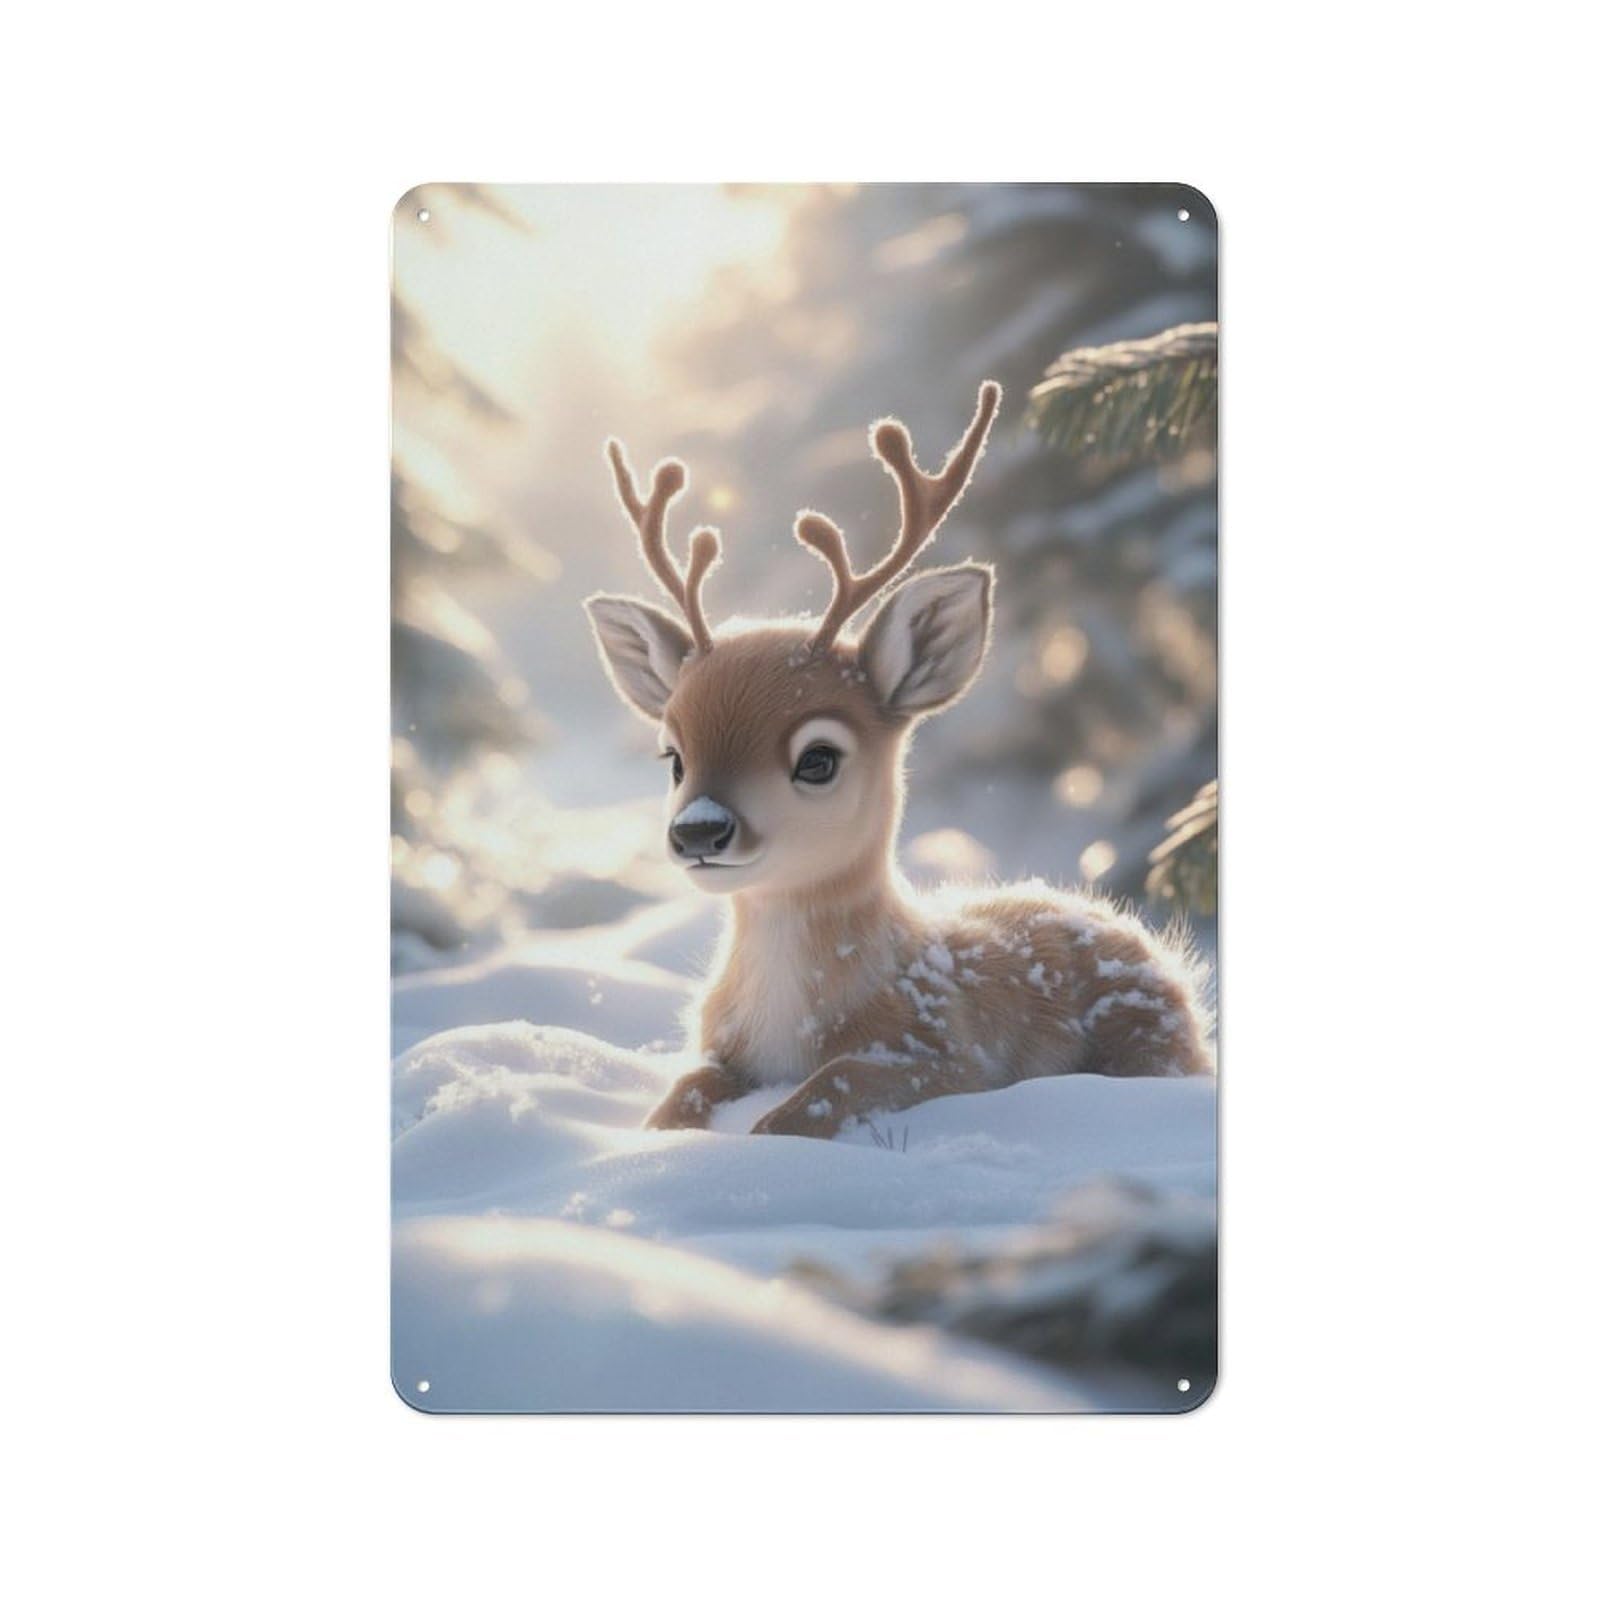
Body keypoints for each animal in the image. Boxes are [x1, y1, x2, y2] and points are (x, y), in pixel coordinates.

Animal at [585, 381, 1213, 1140]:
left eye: (818, 759)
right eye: (673, 757)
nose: (698, 829)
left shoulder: (939, 1052)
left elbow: (806, 1105)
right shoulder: (718, 1049)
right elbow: (674, 1104)